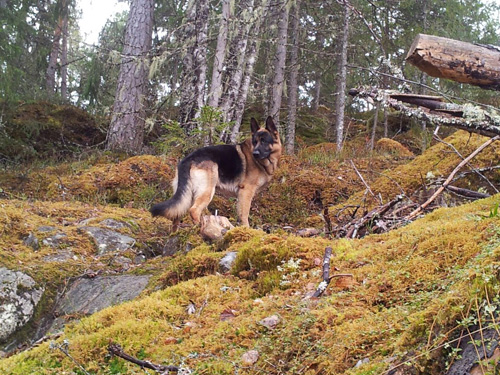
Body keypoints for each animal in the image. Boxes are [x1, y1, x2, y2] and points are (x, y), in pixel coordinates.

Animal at [150, 116, 282, 228]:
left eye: (264, 141)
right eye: (255, 142)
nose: (255, 153)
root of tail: (188, 159)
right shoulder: (246, 193)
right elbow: (244, 215)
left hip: (186, 194)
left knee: (177, 213)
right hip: (207, 191)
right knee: (193, 210)